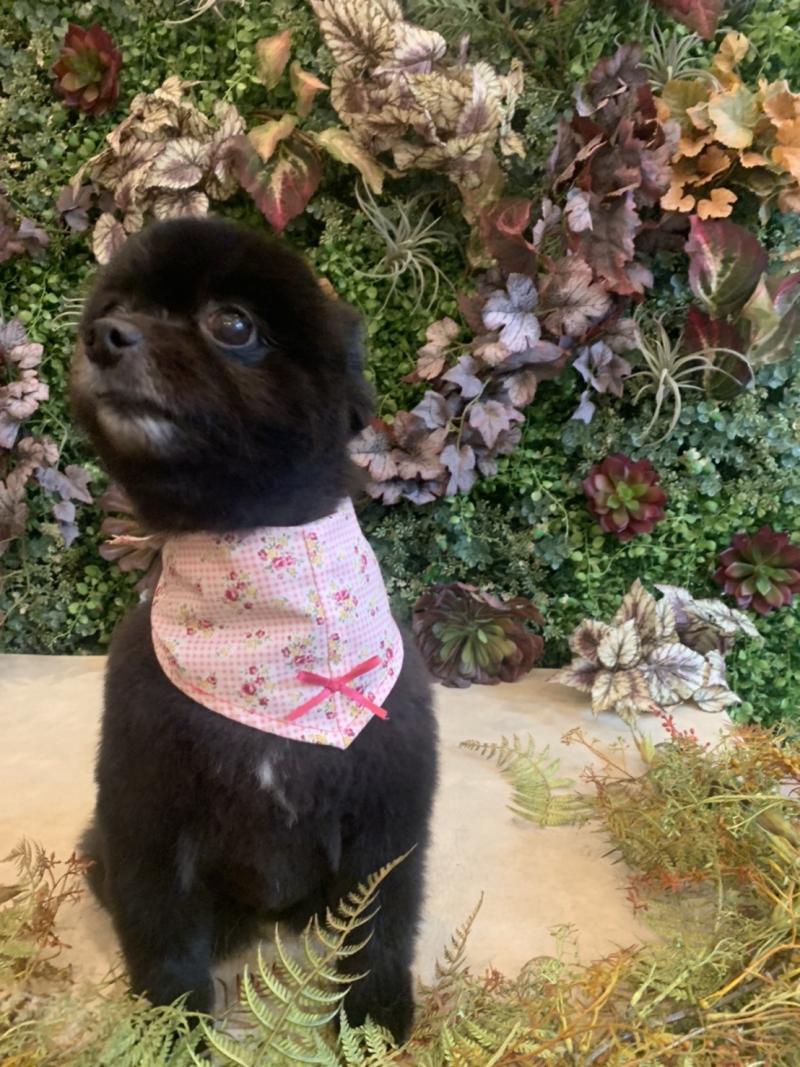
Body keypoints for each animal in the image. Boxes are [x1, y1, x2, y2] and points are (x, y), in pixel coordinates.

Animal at [70, 217, 438, 1043]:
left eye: (233, 325)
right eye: (116, 307)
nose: (106, 337)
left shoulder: (389, 806)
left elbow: (380, 924)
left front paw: (371, 1017)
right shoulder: (144, 811)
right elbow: (162, 936)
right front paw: (172, 1031)